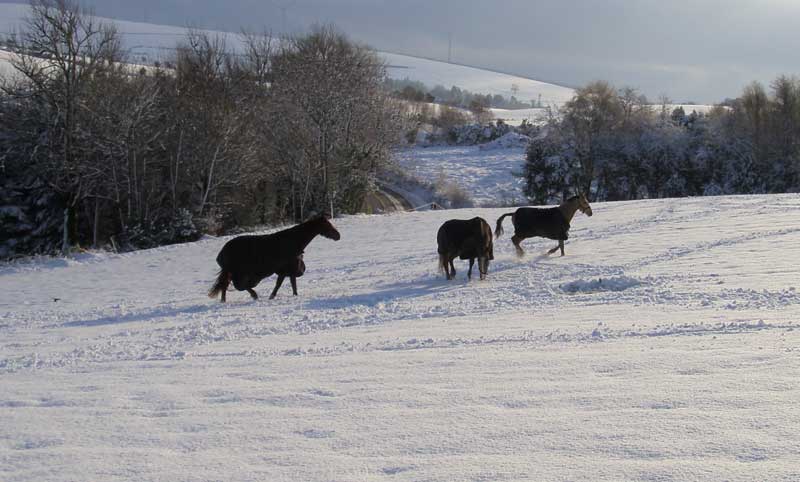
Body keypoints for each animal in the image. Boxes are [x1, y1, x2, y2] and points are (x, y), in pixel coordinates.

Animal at [208, 215, 340, 302]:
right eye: (327, 225)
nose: (338, 235)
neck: (293, 241)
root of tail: (222, 253)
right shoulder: (286, 269)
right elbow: (280, 284)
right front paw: (272, 296)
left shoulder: (288, 270)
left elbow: (290, 284)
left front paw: (293, 295)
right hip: (239, 273)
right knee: (237, 286)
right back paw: (253, 295)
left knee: (226, 285)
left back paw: (225, 300)